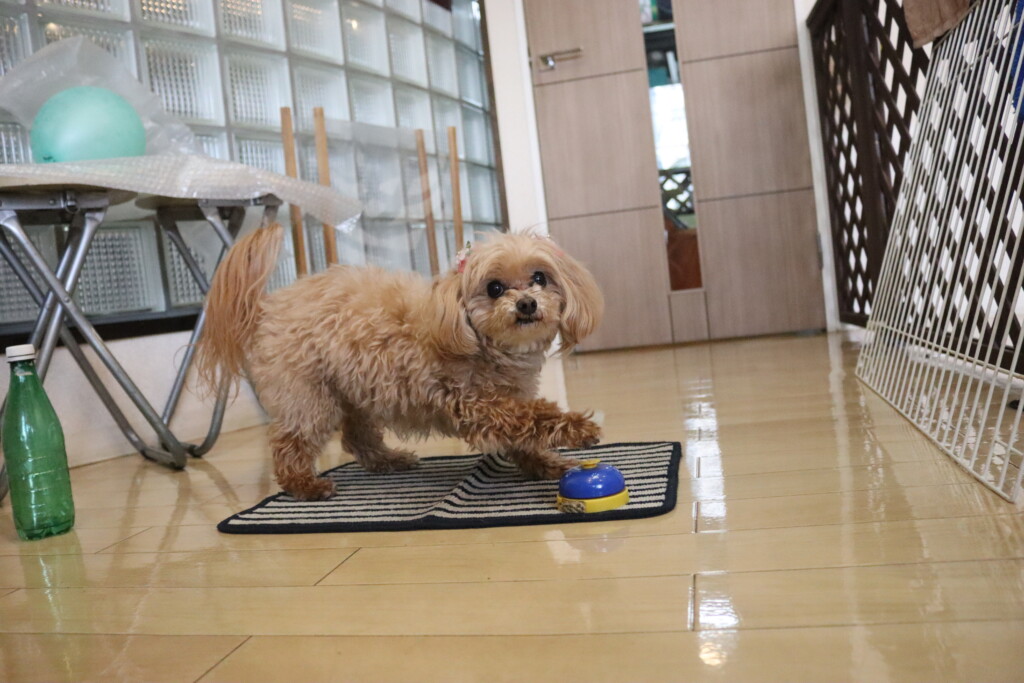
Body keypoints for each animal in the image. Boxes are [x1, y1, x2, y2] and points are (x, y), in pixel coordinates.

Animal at [195, 225, 605, 500]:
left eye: (539, 278)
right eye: (494, 288)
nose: (526, 304)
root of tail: (268, 307)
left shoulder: (510, 394)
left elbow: (524, 435)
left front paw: (545, 464)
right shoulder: (478, 403)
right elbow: (532, 417)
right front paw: (580, 429)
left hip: (355, 390)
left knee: (356, 438)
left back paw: (388, 461)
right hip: (309, 395)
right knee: (289, 441)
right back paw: (306, 485)